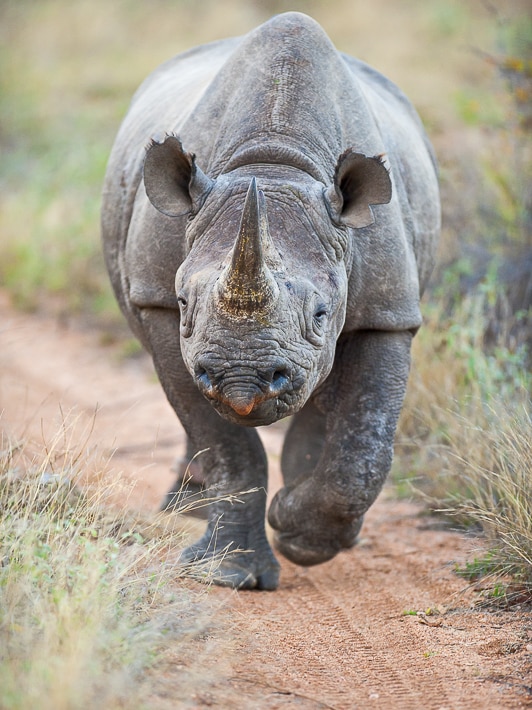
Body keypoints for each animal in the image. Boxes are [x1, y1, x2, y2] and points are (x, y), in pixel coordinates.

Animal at [101, 12, 440, 588]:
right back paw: (187, 507)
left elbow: (364, 446)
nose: (243, 380)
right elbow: (225, 441)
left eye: (321, 315)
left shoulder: (388, 314)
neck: (276, 164)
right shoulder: (157, 304)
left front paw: (299, 535)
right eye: (185, 304)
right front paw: (229, 575)